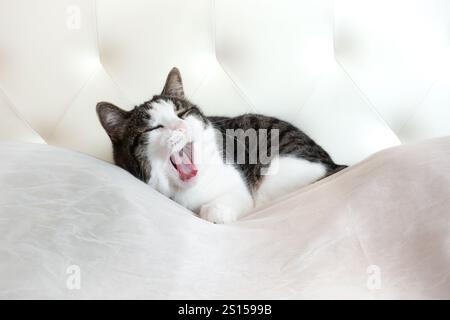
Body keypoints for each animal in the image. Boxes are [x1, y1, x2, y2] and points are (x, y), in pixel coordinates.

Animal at [96, 67, 346, 222]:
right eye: (153, 128)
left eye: (182, 113)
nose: (181, 127)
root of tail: (333, 164)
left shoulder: (240, 185)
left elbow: (234, 197)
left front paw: (216, 211)